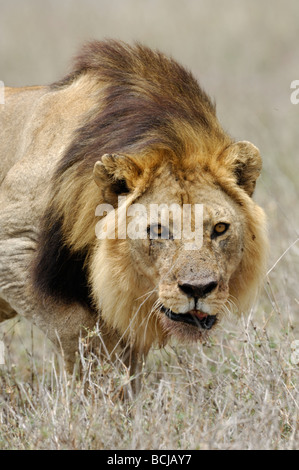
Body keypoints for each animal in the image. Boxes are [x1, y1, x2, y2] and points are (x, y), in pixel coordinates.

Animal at [0, 40, 270, 382]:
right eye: (159, 230)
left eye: (220, 229)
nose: (198, 289)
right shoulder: (12, 247)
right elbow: (85, 335)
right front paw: (96, 390)